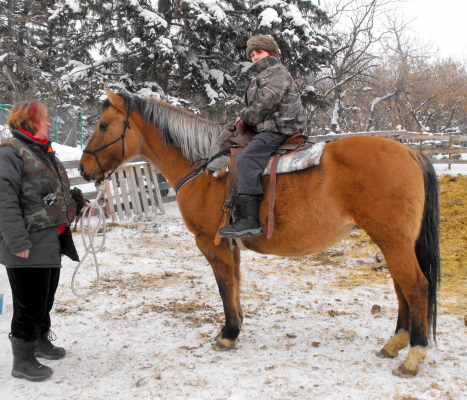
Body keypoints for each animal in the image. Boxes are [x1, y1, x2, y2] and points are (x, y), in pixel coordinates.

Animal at [78, 90, 440, 378]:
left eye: (104, 125)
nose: (83, 169)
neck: (204, 166)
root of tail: (411, 152)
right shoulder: (230, 244)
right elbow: (235, 286)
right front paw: (236, 327)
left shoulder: (211, 244)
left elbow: (225, 287)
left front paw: (227, 334)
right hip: (393, 242)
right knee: (402, 287)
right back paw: (395, 343)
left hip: (393, 241)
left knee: (415, 286)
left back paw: (413, 355)